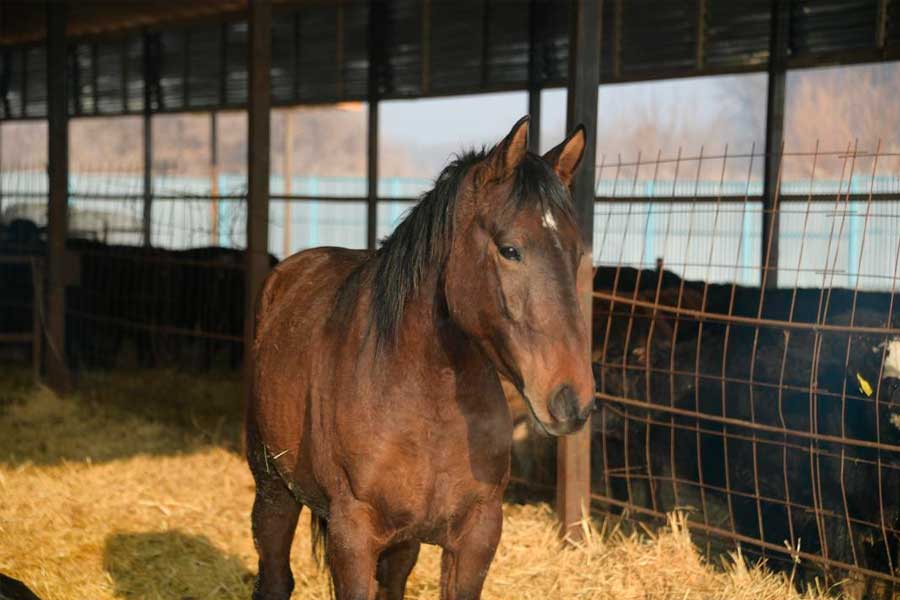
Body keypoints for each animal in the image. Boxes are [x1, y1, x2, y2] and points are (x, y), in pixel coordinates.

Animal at [246, 116, 595, 600]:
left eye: (577, 253)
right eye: (510, 249)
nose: (571, 399)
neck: (425, 405)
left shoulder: (476, 536)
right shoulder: (352, 537)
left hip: (401, 542)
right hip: (274, 491)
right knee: (276, 576)